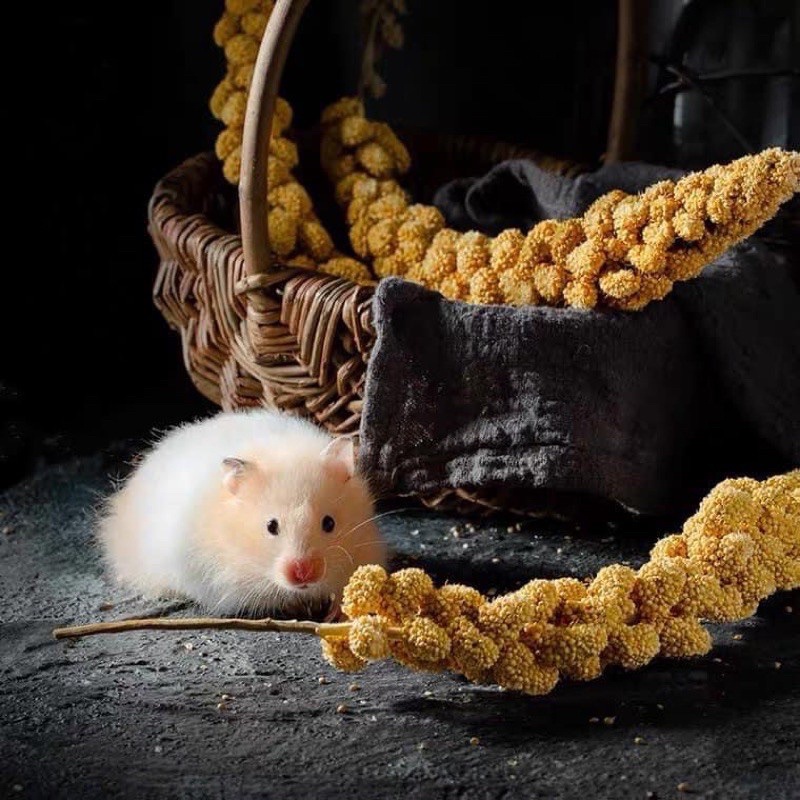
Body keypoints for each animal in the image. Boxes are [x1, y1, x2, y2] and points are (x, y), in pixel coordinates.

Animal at [98, 410, 387, 619]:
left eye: (329, 523)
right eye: (271, 526)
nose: (303, 574)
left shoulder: (366, 551)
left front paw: (333, 614)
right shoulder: (223, 581)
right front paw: (297, 608)